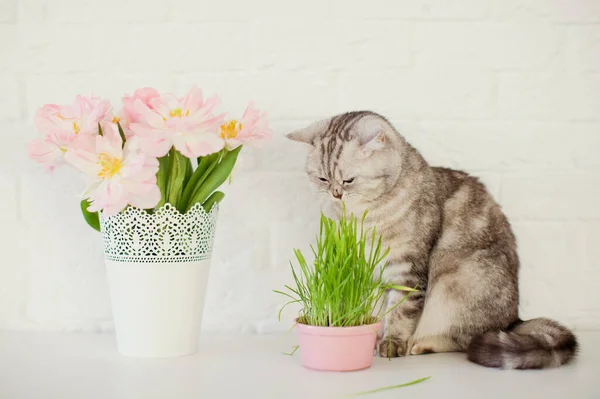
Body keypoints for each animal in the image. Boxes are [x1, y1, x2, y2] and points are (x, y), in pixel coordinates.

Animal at [288, 111, 580, 370]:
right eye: (322, 178)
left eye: (349, 180)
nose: (336, 194)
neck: (363, 217)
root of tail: (513, 321)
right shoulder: (365, 267)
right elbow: (371, 309)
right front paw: (374, 337)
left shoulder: (407, 269)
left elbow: (400, 311)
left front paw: (392, 343)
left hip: (456, 285)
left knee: (463, 339)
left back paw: (421, 344)